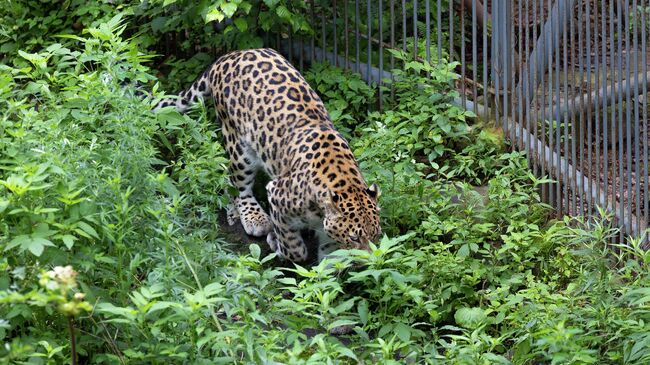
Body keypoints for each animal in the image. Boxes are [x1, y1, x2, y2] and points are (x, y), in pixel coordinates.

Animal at [154, 47, 380, 262]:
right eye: (354, 237)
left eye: (375, 235)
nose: (370, 259)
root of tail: (228, 57)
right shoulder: (277, 195)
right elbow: (294, 248)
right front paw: (277, 244)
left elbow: (329, 256)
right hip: (240, 148)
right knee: (238, 185)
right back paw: (254, 218)